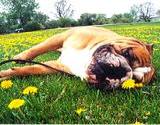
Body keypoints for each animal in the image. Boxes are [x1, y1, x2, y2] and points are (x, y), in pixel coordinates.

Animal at [0, 26, 155, 90]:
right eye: (127, 54)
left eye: (133, 81)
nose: (121, 71)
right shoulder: (62, 36)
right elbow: (38, 48)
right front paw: (20, 58)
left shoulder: (56, 66)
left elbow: (31, 69)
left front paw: (5, 74)